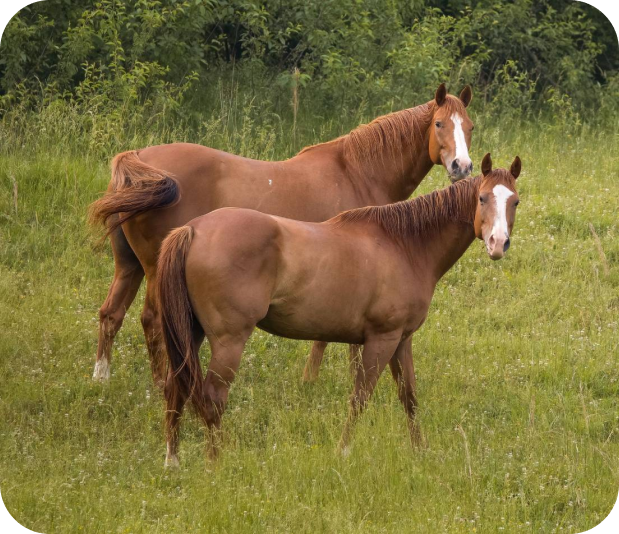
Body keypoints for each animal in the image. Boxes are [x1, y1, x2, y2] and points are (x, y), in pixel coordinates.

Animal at [88, 82, 474, 386]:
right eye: (439, 123)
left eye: (469, 127)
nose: (463, 167)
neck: (357, 172)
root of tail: (138, 159)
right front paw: (319, 380)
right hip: (155, 269)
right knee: (152, 320)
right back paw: (158, 384)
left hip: (129, 266)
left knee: (111, 314)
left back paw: (101, 378)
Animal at [156, 153, 524, 466]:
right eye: (482, 198)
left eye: (515, 201)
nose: (498, 244)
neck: (404, 245)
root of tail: (193, 230)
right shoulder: (381, 340)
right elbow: (360, 397)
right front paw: (343, 451)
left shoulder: (402, 340)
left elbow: (409, 397)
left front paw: (420, 452)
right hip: (229, 341)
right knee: (213, 398)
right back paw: (216, 463)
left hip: (191, 333)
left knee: (176, 387)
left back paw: (173, 460)